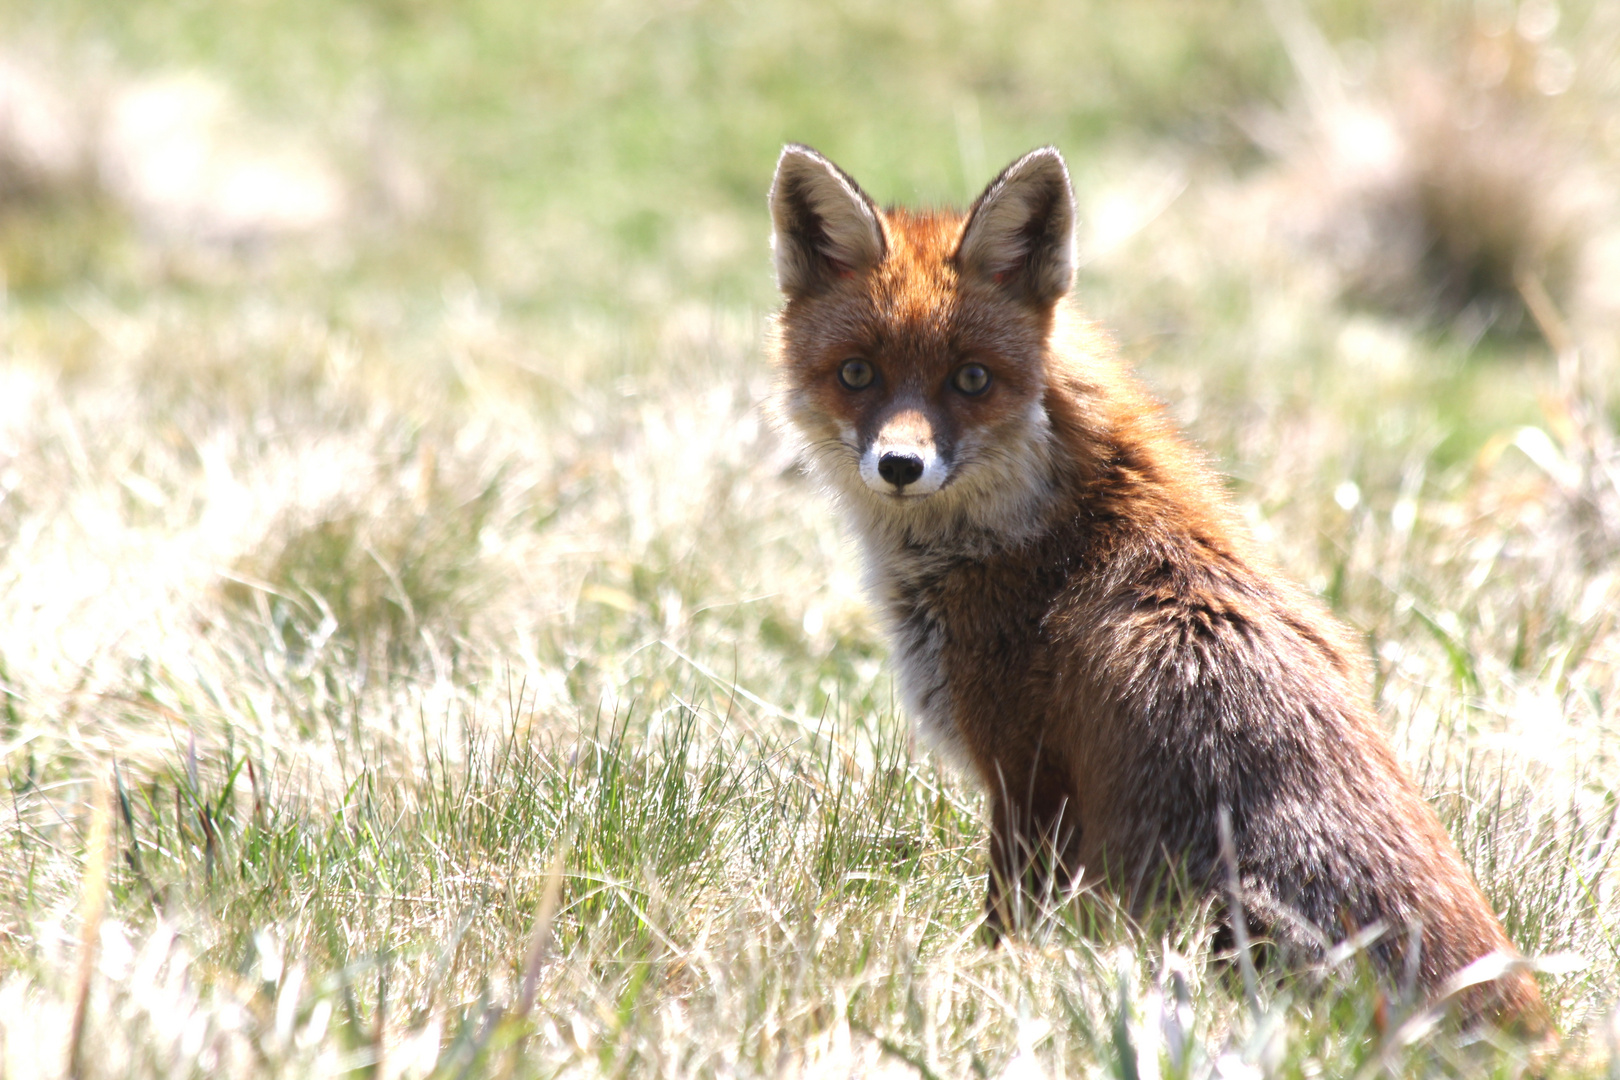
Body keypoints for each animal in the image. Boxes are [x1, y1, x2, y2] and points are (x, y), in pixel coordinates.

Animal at [764, 143, 1548, 1029]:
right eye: (857, 373)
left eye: (971, 380)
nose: (901, 465)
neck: (1046, 520)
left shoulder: (1029, 779)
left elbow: (1001, 930)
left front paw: (980, 993)